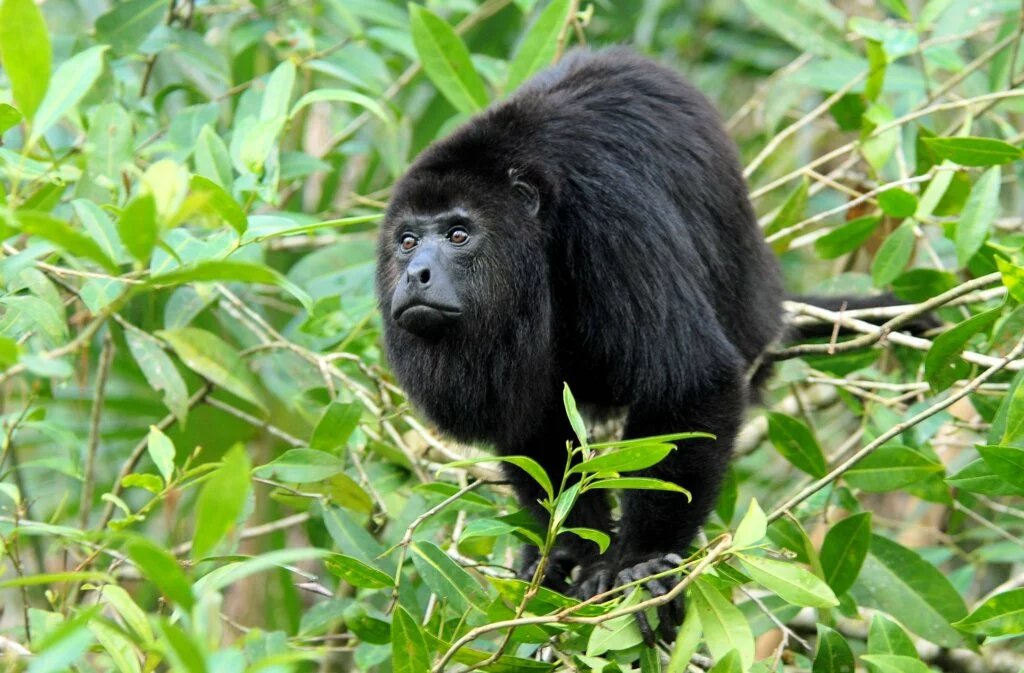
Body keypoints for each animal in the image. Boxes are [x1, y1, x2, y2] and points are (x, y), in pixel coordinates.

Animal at [376, 46, 788, 644]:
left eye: (458, 234)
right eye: (407, 241)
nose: (415, 273)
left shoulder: (608, 218)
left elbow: (691, 379)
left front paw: (640, 563)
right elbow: (532, 426)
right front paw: (571, 552)